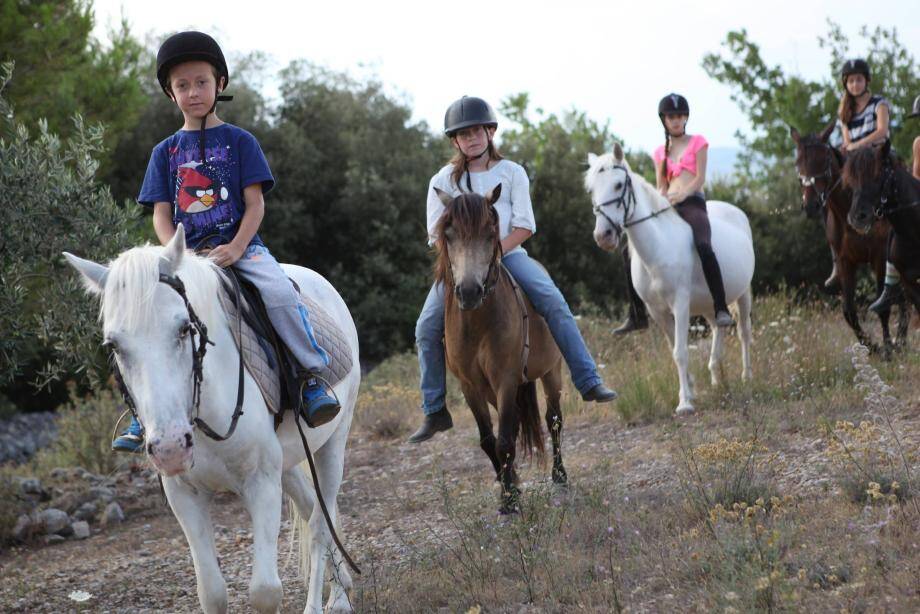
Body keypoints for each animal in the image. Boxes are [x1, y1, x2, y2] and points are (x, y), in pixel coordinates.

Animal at [63, 227, 360, 614]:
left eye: (183, 328)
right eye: (113, 346)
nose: (171, 449)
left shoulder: (261, 484)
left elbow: (265, 591)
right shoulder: (183, 495)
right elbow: (212, 592)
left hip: (333, 443)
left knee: (322, 524)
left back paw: (333, 602)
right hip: (290, 462)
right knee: (315, 511)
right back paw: (343, 589)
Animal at [434, 184, 568, 516]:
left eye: (490, 233)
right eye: (448, 234)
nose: (469, 291)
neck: (477, 323)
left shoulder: (505, 379)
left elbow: (505, 440)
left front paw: (509, 501)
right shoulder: (470, 386)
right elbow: (487, 439)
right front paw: (510, 487)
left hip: (551, 371)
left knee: (553, 420)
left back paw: (560, 477)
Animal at [584, 144, 752, 414]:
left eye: (619, 185)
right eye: (591, 189)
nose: (604, 236)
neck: (658, 247)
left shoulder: (680, 304)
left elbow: (680, 351)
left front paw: (684, 403)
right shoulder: (657, 311)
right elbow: (674, 349)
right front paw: (691, 389)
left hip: (744, 293)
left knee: (743, 332)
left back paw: (747, 377)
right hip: (709, 304)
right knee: (719, 327)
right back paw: (715, 377)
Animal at [788, 124, 908, 352]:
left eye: (824, 160)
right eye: (798, 163)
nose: (810, 205)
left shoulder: (879, 258)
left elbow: (883, 307)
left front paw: (888, 349)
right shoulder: (846, 261)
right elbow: (849, 311)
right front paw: (873, 348)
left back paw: (901, 341)